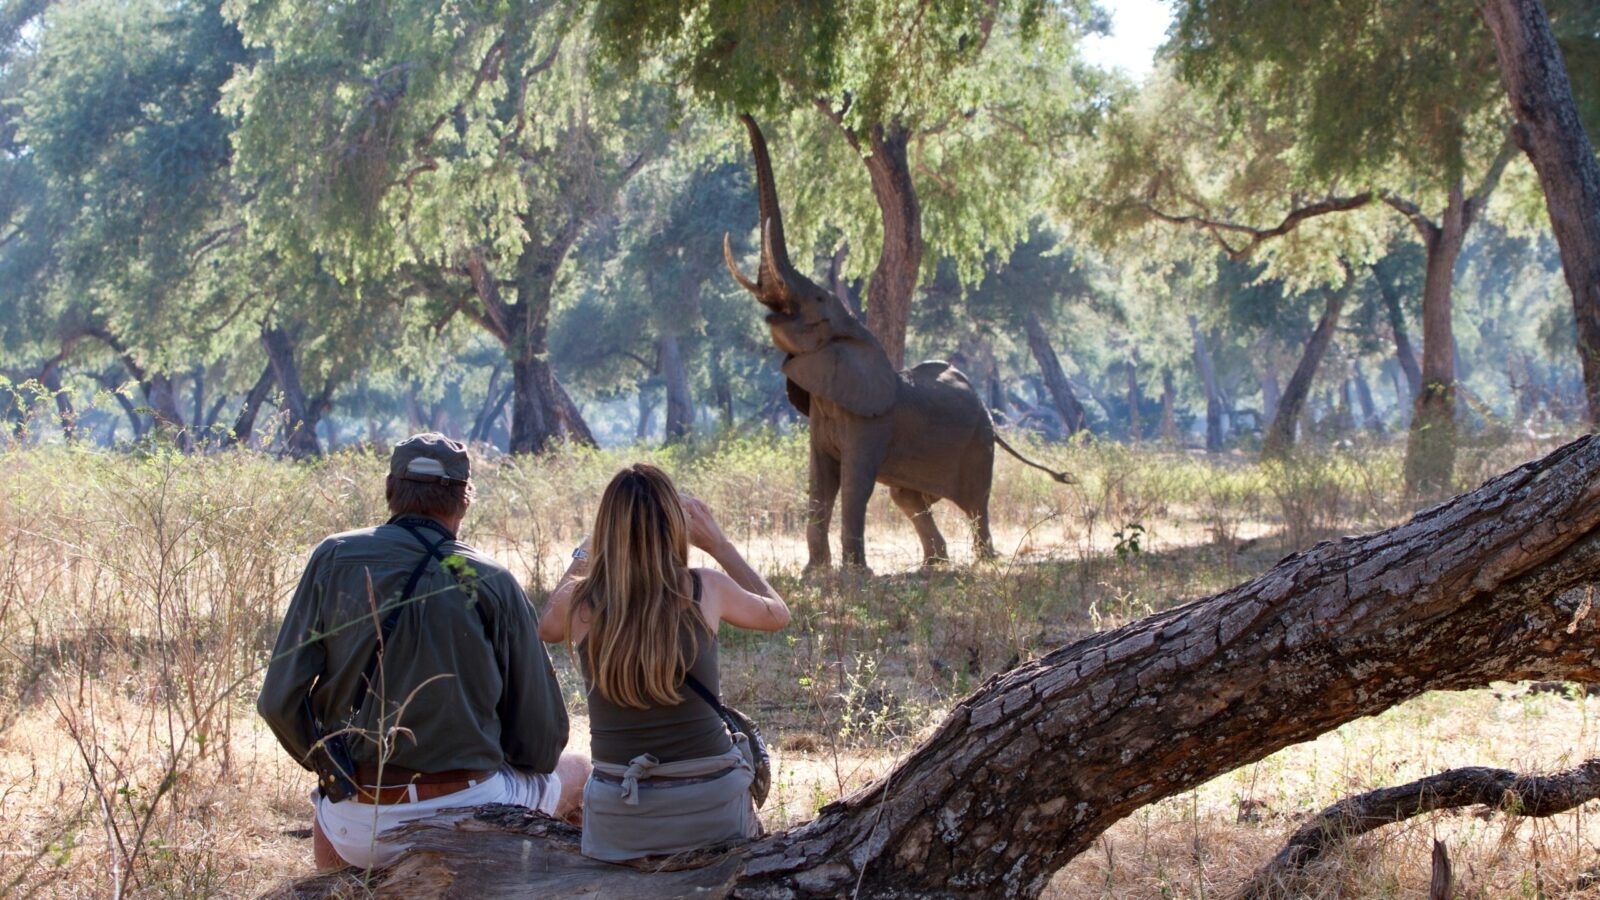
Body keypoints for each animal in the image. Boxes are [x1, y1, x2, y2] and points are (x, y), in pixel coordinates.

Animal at [723, 114, 1073, 571]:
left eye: (816, 300)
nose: (743, 114)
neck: (854, 337)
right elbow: (819, 483)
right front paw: (814, 574)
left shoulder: (871, 423)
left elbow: (854, 482)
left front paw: (855, 575)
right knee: (908, 498)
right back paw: (933, 566)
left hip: (979, 443)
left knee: (975, 502)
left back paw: (985, 563)